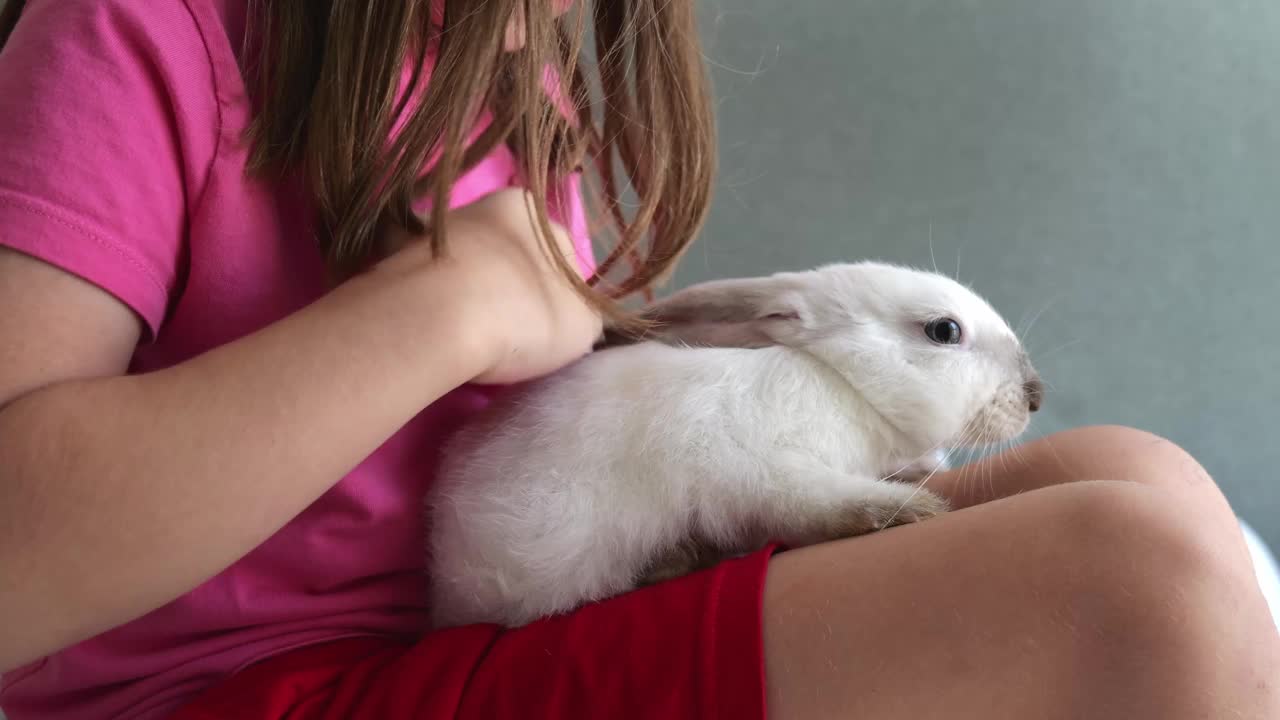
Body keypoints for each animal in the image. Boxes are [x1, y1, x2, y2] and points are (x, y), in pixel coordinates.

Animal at [424, 260, 1044, 625]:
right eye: (944, 331)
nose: (1036, 394)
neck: (840, 384)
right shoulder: (759, 471)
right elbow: (819, 503)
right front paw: (910, 508)